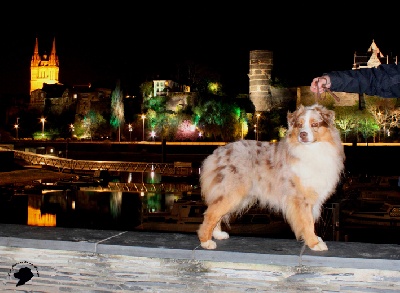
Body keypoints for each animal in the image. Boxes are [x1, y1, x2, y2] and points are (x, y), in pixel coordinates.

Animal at [197, 104, 344, 250]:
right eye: (299, 125)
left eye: (315, 124)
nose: (302, 134)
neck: (311, 149)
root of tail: (217, 153)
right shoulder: (301, 197)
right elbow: (307, 221)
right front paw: (314, 243)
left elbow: (311, 220)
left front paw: (315, 239)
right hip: (231, 192)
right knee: (211, 213)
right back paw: (206, 241)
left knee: (216, 213)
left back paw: (217, 234)